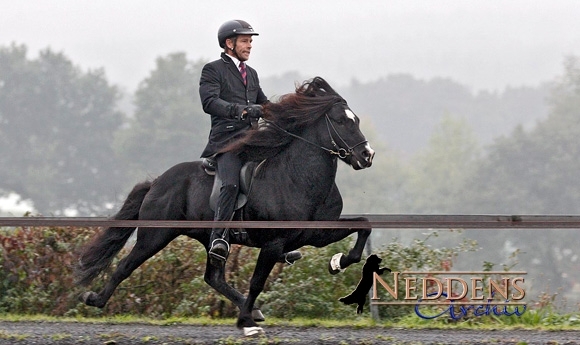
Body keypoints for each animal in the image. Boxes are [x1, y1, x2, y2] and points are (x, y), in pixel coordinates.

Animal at [75, 76, 376, 336]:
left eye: (357, 120)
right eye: (340, 121)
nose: (367, 155)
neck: (299, 177)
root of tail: (158, 182)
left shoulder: (315, 233)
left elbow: (364, 226)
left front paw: (338, 262)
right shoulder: (273, 243)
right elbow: (257, 281)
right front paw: (245, 323)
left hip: (208, 238)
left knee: (213, 277)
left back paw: (252, 310)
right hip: (156, 235)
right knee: (126, 265)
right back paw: (94, 299)